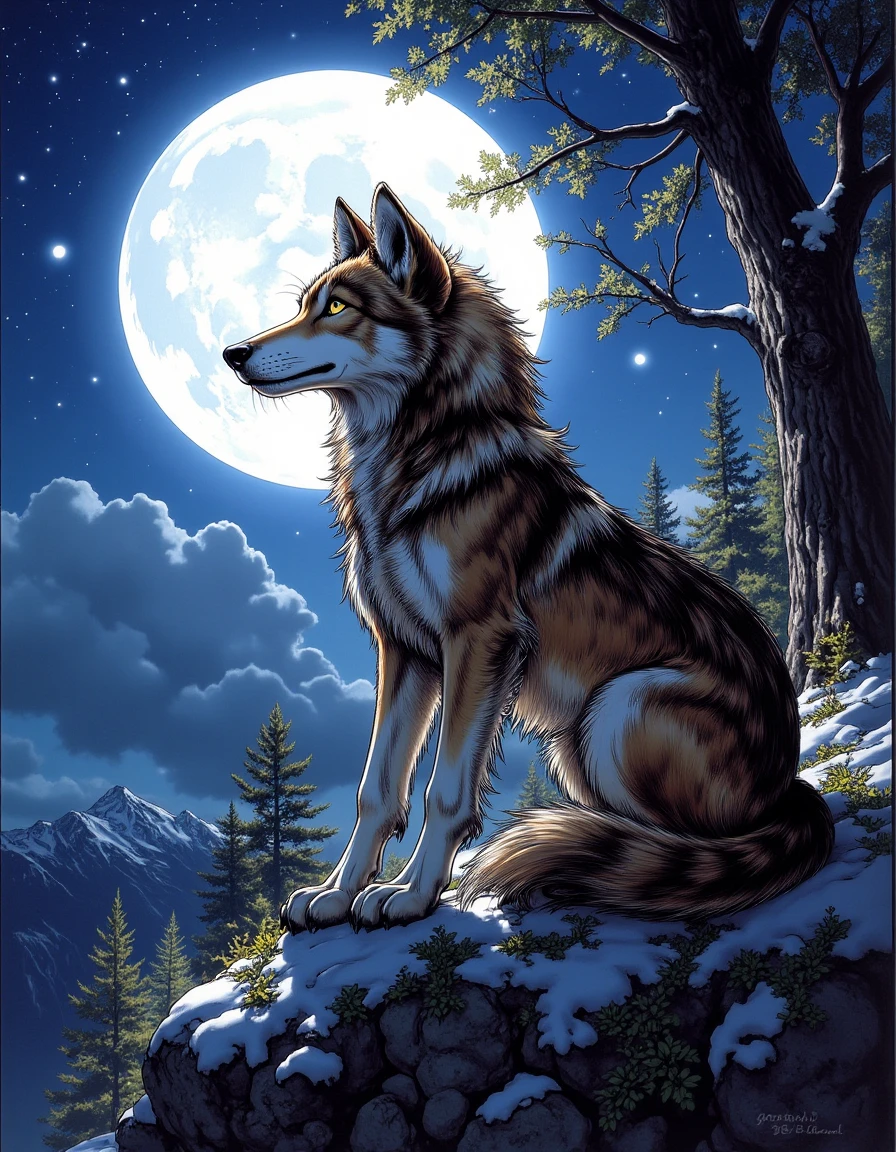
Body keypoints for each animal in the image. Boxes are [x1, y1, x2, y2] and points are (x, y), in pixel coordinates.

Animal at [223, 183, 833, 933]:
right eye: (305, 302)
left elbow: (443, 790)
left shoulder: (480, 641)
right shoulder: (405, 651)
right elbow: (377, 790)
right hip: (579, 740)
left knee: (691, 847)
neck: (410, 466)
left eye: (337, 308)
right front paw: (337, 895)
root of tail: (793, 785)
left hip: (618, 708)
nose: (234, 353)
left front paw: (411, 895)